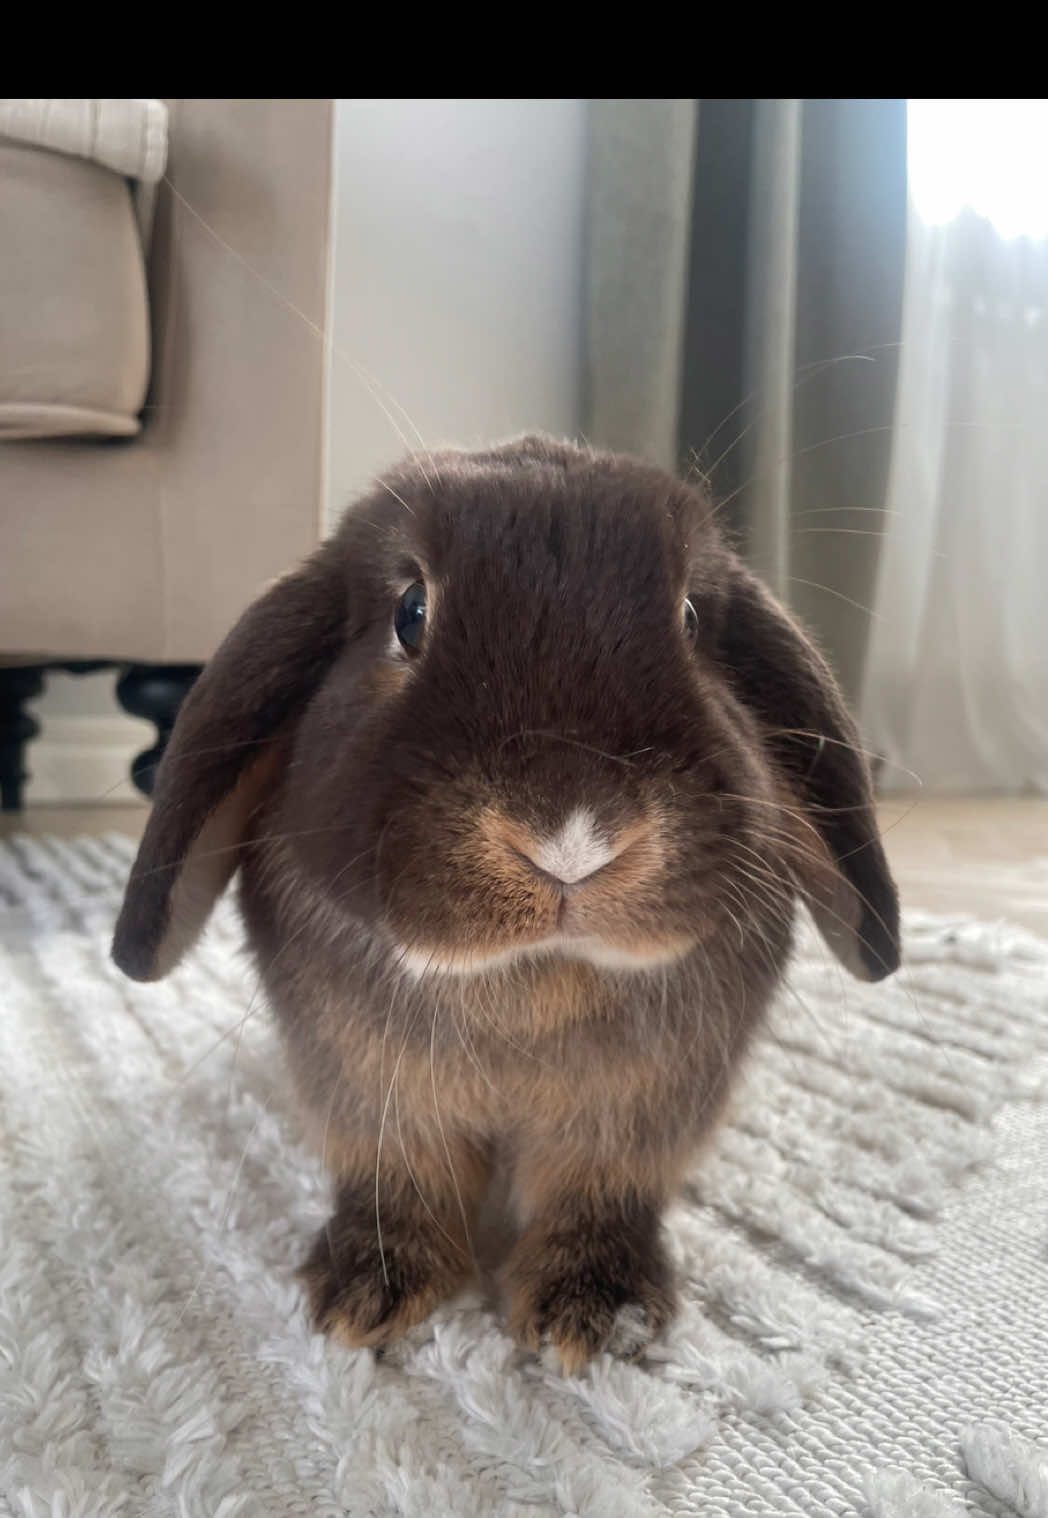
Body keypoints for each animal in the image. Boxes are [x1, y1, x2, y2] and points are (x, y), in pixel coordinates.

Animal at [112, 434, 899, 1371]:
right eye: (410, 612)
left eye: (690, 620)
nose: (572, 838)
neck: (531, 980)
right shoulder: (371, 1099)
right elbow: (400, 1184)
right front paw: (364, 1296)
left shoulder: (635, 1121)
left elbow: (596, 1194)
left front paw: (598, 1315)